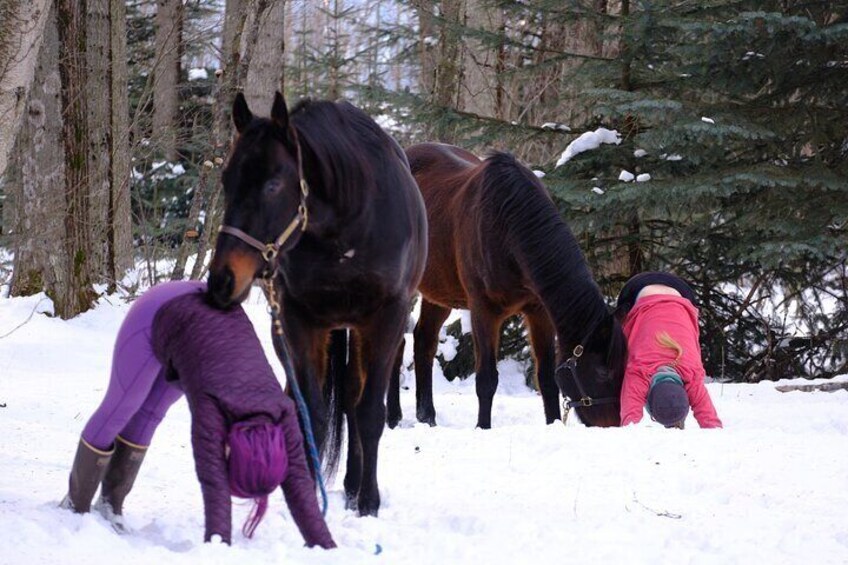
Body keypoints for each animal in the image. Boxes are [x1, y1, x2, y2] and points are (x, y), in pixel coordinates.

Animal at [209, 92, 428, 516]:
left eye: (273, 184)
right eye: (226, 181)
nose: (222, 279)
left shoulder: (387, 319)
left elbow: (369, 412)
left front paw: (369, 501)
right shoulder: (298, 321)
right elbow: (310, 410)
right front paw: (307, 497)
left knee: (354, 402)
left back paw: (355, 486)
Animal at [388, 141, 628, 428]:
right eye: (602, 372)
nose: (614, 424)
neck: (505, 225)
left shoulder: (538, 311)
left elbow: (546, 378)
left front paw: (552, 423)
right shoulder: (483, 311)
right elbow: (486, 379)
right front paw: (483, 427)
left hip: (440, 292)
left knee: (424, 340)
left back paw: (428, 418)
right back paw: (392, 417)